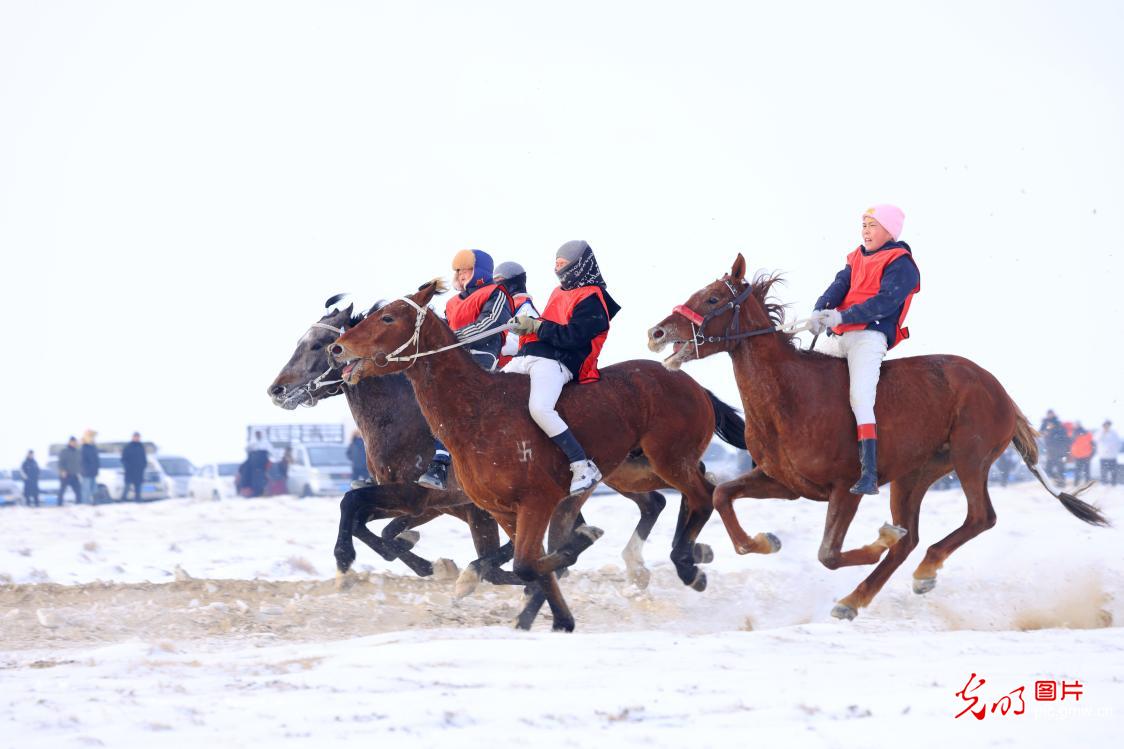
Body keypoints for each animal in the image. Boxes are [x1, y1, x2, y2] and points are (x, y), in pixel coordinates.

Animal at [328, 279, 740, 631]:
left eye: (388, 317)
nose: (337, 349)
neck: (478, 411)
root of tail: (688, 381)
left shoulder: (534, 501)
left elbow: (529, 562)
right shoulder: (501, 509)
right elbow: (531, 562)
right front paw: (558, 616)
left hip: (669, 458)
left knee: (703, 495)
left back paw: (687, 564)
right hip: (636, 467)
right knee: (689, 489)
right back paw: (685, 554)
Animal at [646, 253, 1109, 620]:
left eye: (712, 298)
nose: (657, 333)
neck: (790, 395)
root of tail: (998, 389)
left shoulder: (846, 487)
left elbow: (829, 553)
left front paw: (880, 539)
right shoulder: (785, 483)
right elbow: (724, 496)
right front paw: (765, 540)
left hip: (970, 458)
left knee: (980, 518)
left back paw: (921, 571)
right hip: (914, 475)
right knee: (914, 538)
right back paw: (860, 596)